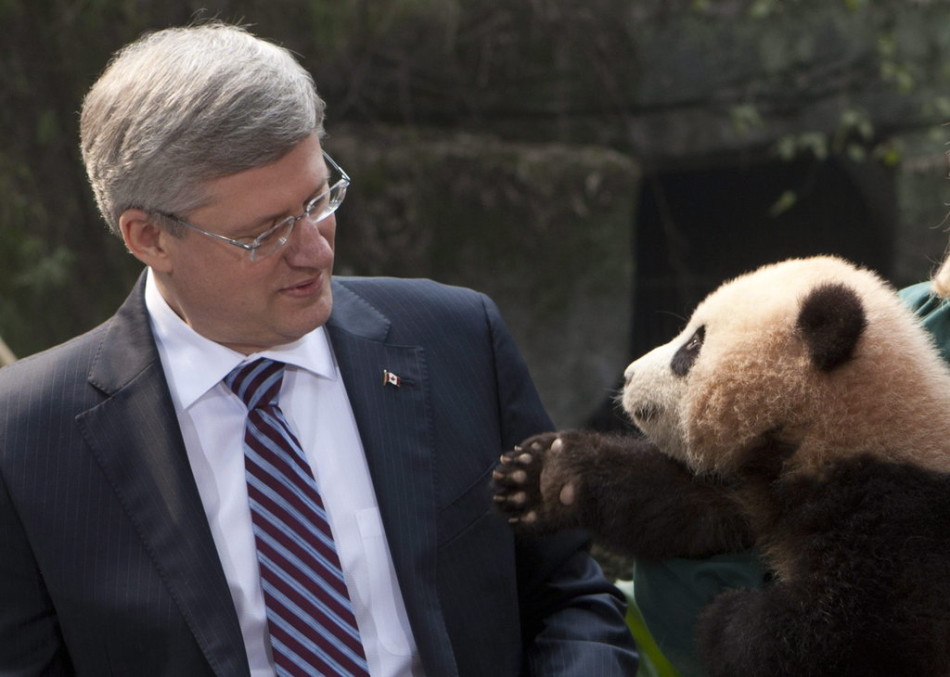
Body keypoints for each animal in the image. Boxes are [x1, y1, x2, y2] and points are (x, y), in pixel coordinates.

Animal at [490, 255, 950, 676]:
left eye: (693, 345)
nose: (629, 375)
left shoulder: (895, 519)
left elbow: (851, 632)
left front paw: (724, 620)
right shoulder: (751, 484)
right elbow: (680, 503)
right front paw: (545, 477)